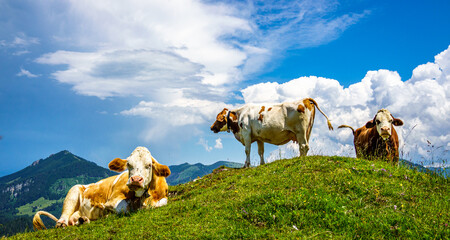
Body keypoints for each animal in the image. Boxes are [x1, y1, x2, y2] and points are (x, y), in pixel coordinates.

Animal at [33, 145, 171, 230]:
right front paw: (109, 214)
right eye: (128, 164)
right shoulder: (113, 200)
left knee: (74, 219)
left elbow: (162, 203)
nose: (136, 180)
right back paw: (62, 223)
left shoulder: (162, 197)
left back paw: (83, 220)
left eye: (149, 165)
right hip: (73, 191)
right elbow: (124, 208)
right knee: (65, 214)